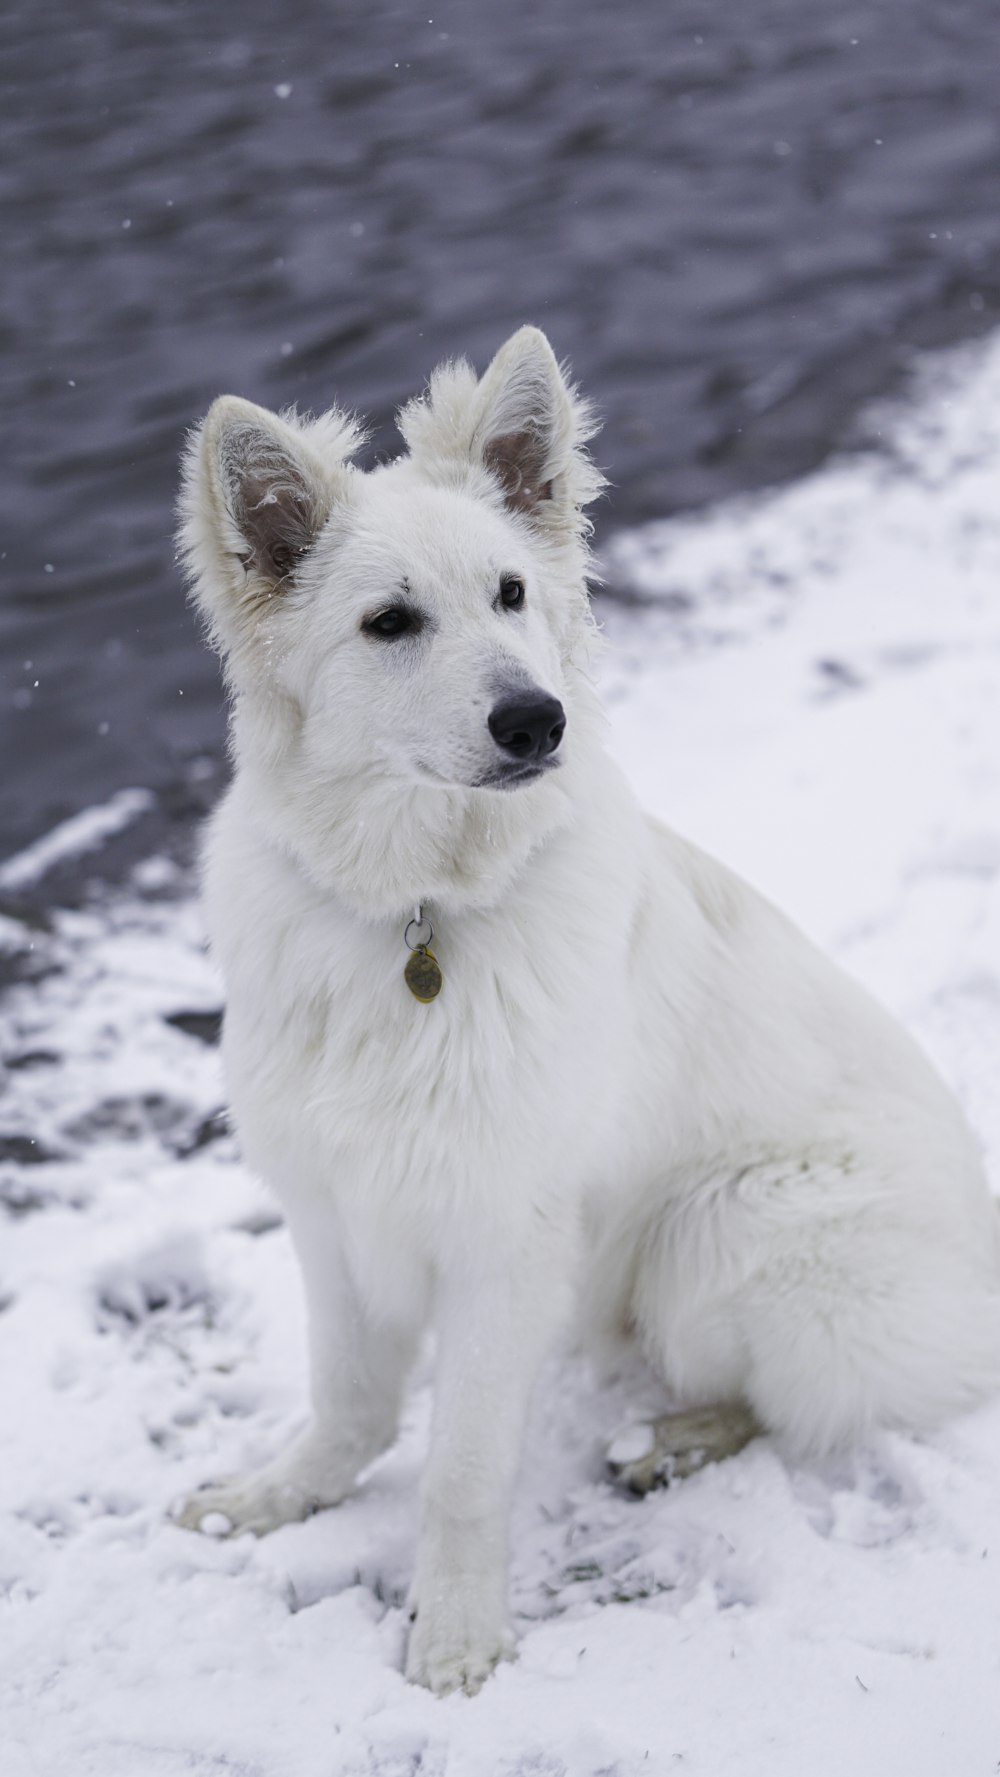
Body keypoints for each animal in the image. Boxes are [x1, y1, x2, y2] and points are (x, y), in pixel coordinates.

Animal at [177, 330, 1000, 1691]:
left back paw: (670, 1439)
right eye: (389, 622)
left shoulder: (502, 1235)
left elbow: (461, 1469)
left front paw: (456, 1631)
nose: (535, 720)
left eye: (513, 593)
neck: (420, 917)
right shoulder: (331, 1205)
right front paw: (280, 1495)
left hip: (720, 1228)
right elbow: (349, 1400)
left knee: (790, 1405)